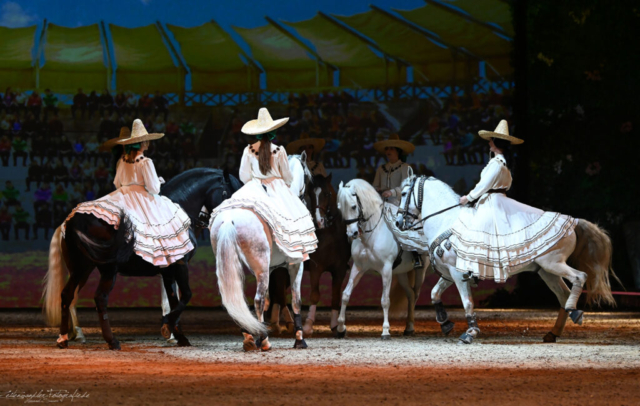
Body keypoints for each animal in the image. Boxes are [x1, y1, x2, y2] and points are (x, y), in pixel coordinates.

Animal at [42, 170, 242, 350]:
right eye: (230, 194)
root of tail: (74, 220)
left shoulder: (168, 271)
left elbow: (173, 300)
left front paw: (178, 335)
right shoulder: (180, 265)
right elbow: (186, 295)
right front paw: (167, 326)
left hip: (81, 269)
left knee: (67, 296)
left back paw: (64, 338)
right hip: (107, 270)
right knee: (99, 298)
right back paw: (111, 341)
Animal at [209, 154, 312, 350]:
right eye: (309, 178)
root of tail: (229, 219)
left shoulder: (270, 269)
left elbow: (269, 300)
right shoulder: (296, 265)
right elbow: (296, 301)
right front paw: (299, 339)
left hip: (235, 265)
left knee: (238, 297)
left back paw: (250, 337)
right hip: (260, 266)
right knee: (257, 299)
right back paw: (264, 340)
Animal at [336, 179, 430, 338]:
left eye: (354, 206)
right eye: (340, 208)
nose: (352, 234)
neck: (372, 233)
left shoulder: (386, 269)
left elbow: (385, 300)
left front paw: (385, 330)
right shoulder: (358, 267)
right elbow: (345, 294)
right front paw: (341, 327)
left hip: (421, 271)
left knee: (416, 294)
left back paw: (411, 325)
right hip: (401, 273)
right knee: (410, 294)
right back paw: (408, 328)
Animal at [396, 176, 620, 344]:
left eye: (404, 194)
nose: (399, 222)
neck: (447, 221)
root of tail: (573, 221)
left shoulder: (459, 274)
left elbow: (467, 303)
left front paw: (470, 333)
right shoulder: (450, 273)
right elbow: (434, 293)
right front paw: (445, 322)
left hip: (553, 264)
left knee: (579, 277)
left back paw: (575, 313)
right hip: (547, 272)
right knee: (563, 295)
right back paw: (555, 331)